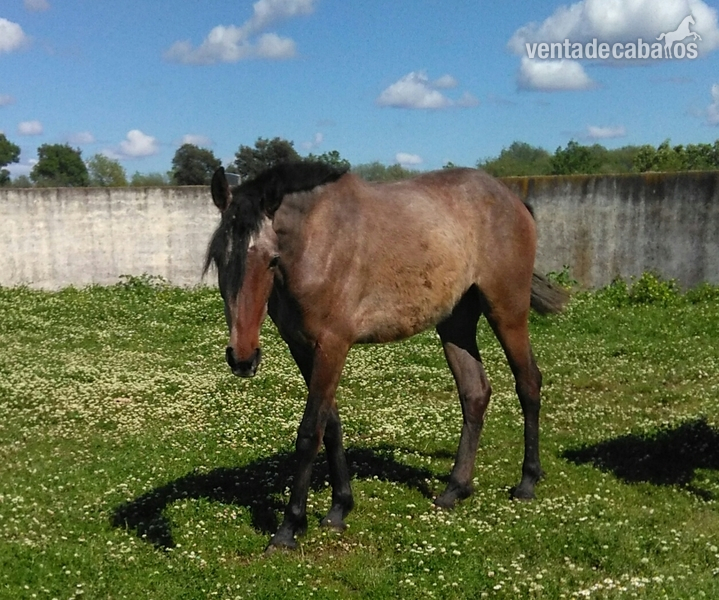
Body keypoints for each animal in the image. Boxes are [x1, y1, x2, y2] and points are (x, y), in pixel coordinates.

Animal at [204, 162, 568, 551]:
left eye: (272, 259)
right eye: (217, 258)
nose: (242, 358)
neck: (316, 241)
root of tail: (514, 200)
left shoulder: (332, 345)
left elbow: (309, 432)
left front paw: (289, 528)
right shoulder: (301, 347)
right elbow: (331, 427)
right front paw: (339, 508)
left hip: (507, 311)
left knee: (528, 382)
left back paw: (527, 482)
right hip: (455, 322)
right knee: (475, 393)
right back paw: (454, 489)